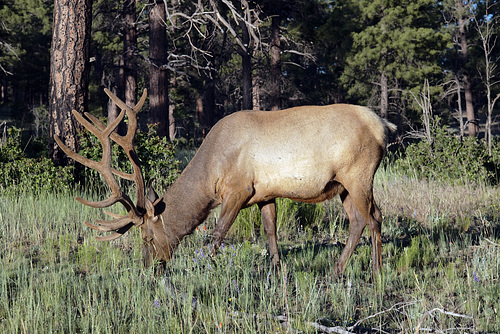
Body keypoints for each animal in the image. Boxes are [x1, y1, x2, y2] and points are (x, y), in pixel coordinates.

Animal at [54, 88, 396, 276]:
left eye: (148, 238)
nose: (148, 268)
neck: (211, 171)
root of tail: (384, 125)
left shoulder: (238, 189)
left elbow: (216, 235)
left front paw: (204, 269)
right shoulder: (264, 193)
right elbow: (270, 232)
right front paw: (276, 271)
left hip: (359, 174)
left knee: (375, 217)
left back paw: (377, 272)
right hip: (343, 185)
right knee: (358, 220)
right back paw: (337, 270)